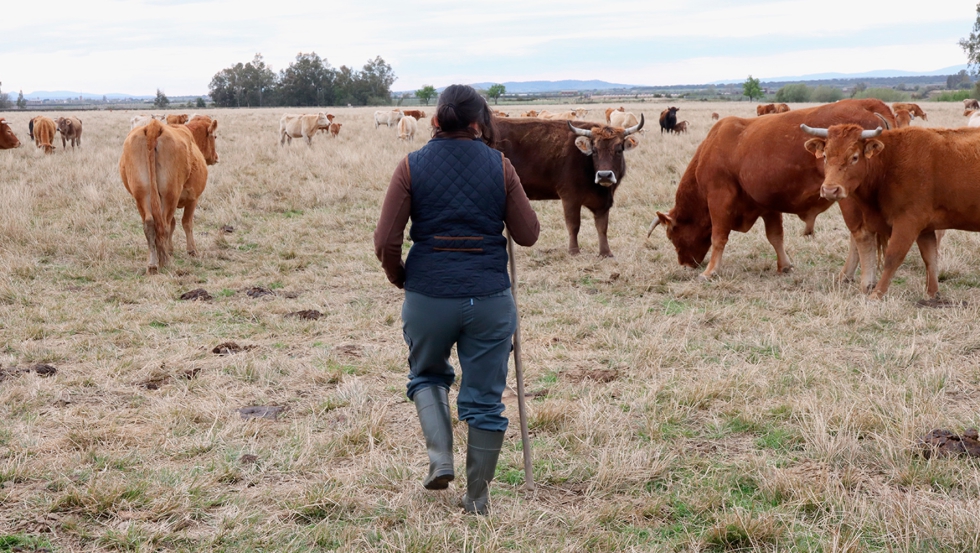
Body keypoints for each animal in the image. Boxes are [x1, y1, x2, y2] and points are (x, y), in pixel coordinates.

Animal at [118, 116, 218, 272]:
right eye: (215, 136)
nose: (216, 157)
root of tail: (154, 126)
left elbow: (173, 223)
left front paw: (169, 249)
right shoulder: (193, 198)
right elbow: (186, 222)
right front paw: (191, 250)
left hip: (141, 195)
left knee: (150, 224)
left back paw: (153, 263)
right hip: (170, 195)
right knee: (163, 225)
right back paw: (165, 262)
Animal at [490, 116, 644, 256]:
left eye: (619, 150)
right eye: (594, 151)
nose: (604, 175)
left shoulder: (602, 203)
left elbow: (602, 227)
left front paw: (605, 253)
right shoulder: (570, 198)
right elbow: (573, 225)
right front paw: (574, 251)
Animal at [800, 123, 980, 300]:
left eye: (855, 157)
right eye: (824, 156)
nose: (830, 190)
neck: (890, 163)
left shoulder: (908, 222)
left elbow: (893, 257)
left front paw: (877, 294)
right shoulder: (925, 228)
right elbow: (930, 258)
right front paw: (933, 294)